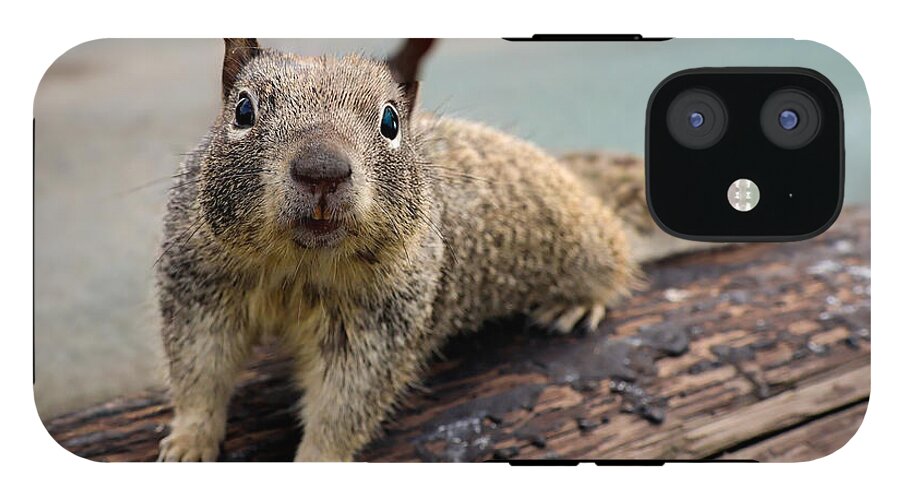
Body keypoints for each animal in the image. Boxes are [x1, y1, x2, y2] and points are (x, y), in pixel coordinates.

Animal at [158, 38, 663, 462]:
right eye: (243, 110)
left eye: (390, 122)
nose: (322, 170)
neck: (300, 267)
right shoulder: (201, 289)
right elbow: (199, 372)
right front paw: (188, 442)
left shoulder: (378, 327)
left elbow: (344, 405)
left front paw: (317, 460)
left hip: (585, 243)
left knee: (616, 256)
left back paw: (577, 303)